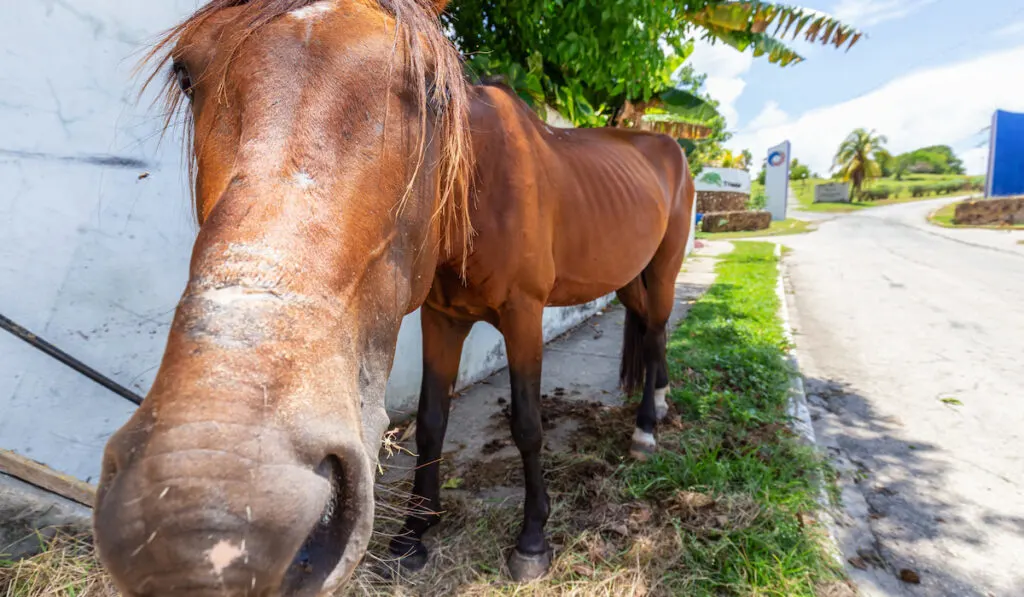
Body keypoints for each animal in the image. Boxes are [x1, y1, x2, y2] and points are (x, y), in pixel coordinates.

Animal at [94, 0, 696, 593]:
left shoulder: (524, 314)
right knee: (650, 329)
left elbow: (527, 425)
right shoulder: (441, 317)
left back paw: (647, 426)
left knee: (658, 330)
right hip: (627, 277)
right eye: (185, 73)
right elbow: (431, 422)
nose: (217, 527)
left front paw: (532, 542)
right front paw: (413, 535)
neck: (480, 193)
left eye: (433, 92)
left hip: (663, 269)